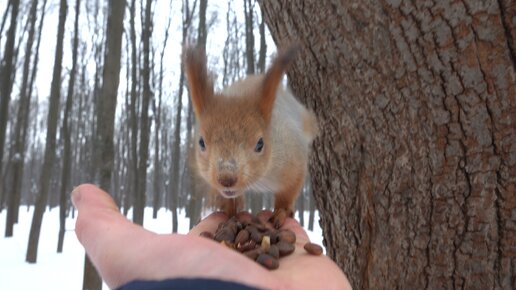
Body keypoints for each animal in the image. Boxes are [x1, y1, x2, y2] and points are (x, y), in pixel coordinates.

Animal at [183, 46, 316, 227]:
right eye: (201, 143)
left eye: (260, 144)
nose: (226, 179)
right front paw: (229, 211)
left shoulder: (293, 160)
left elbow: (289, 191)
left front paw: (281, 212)